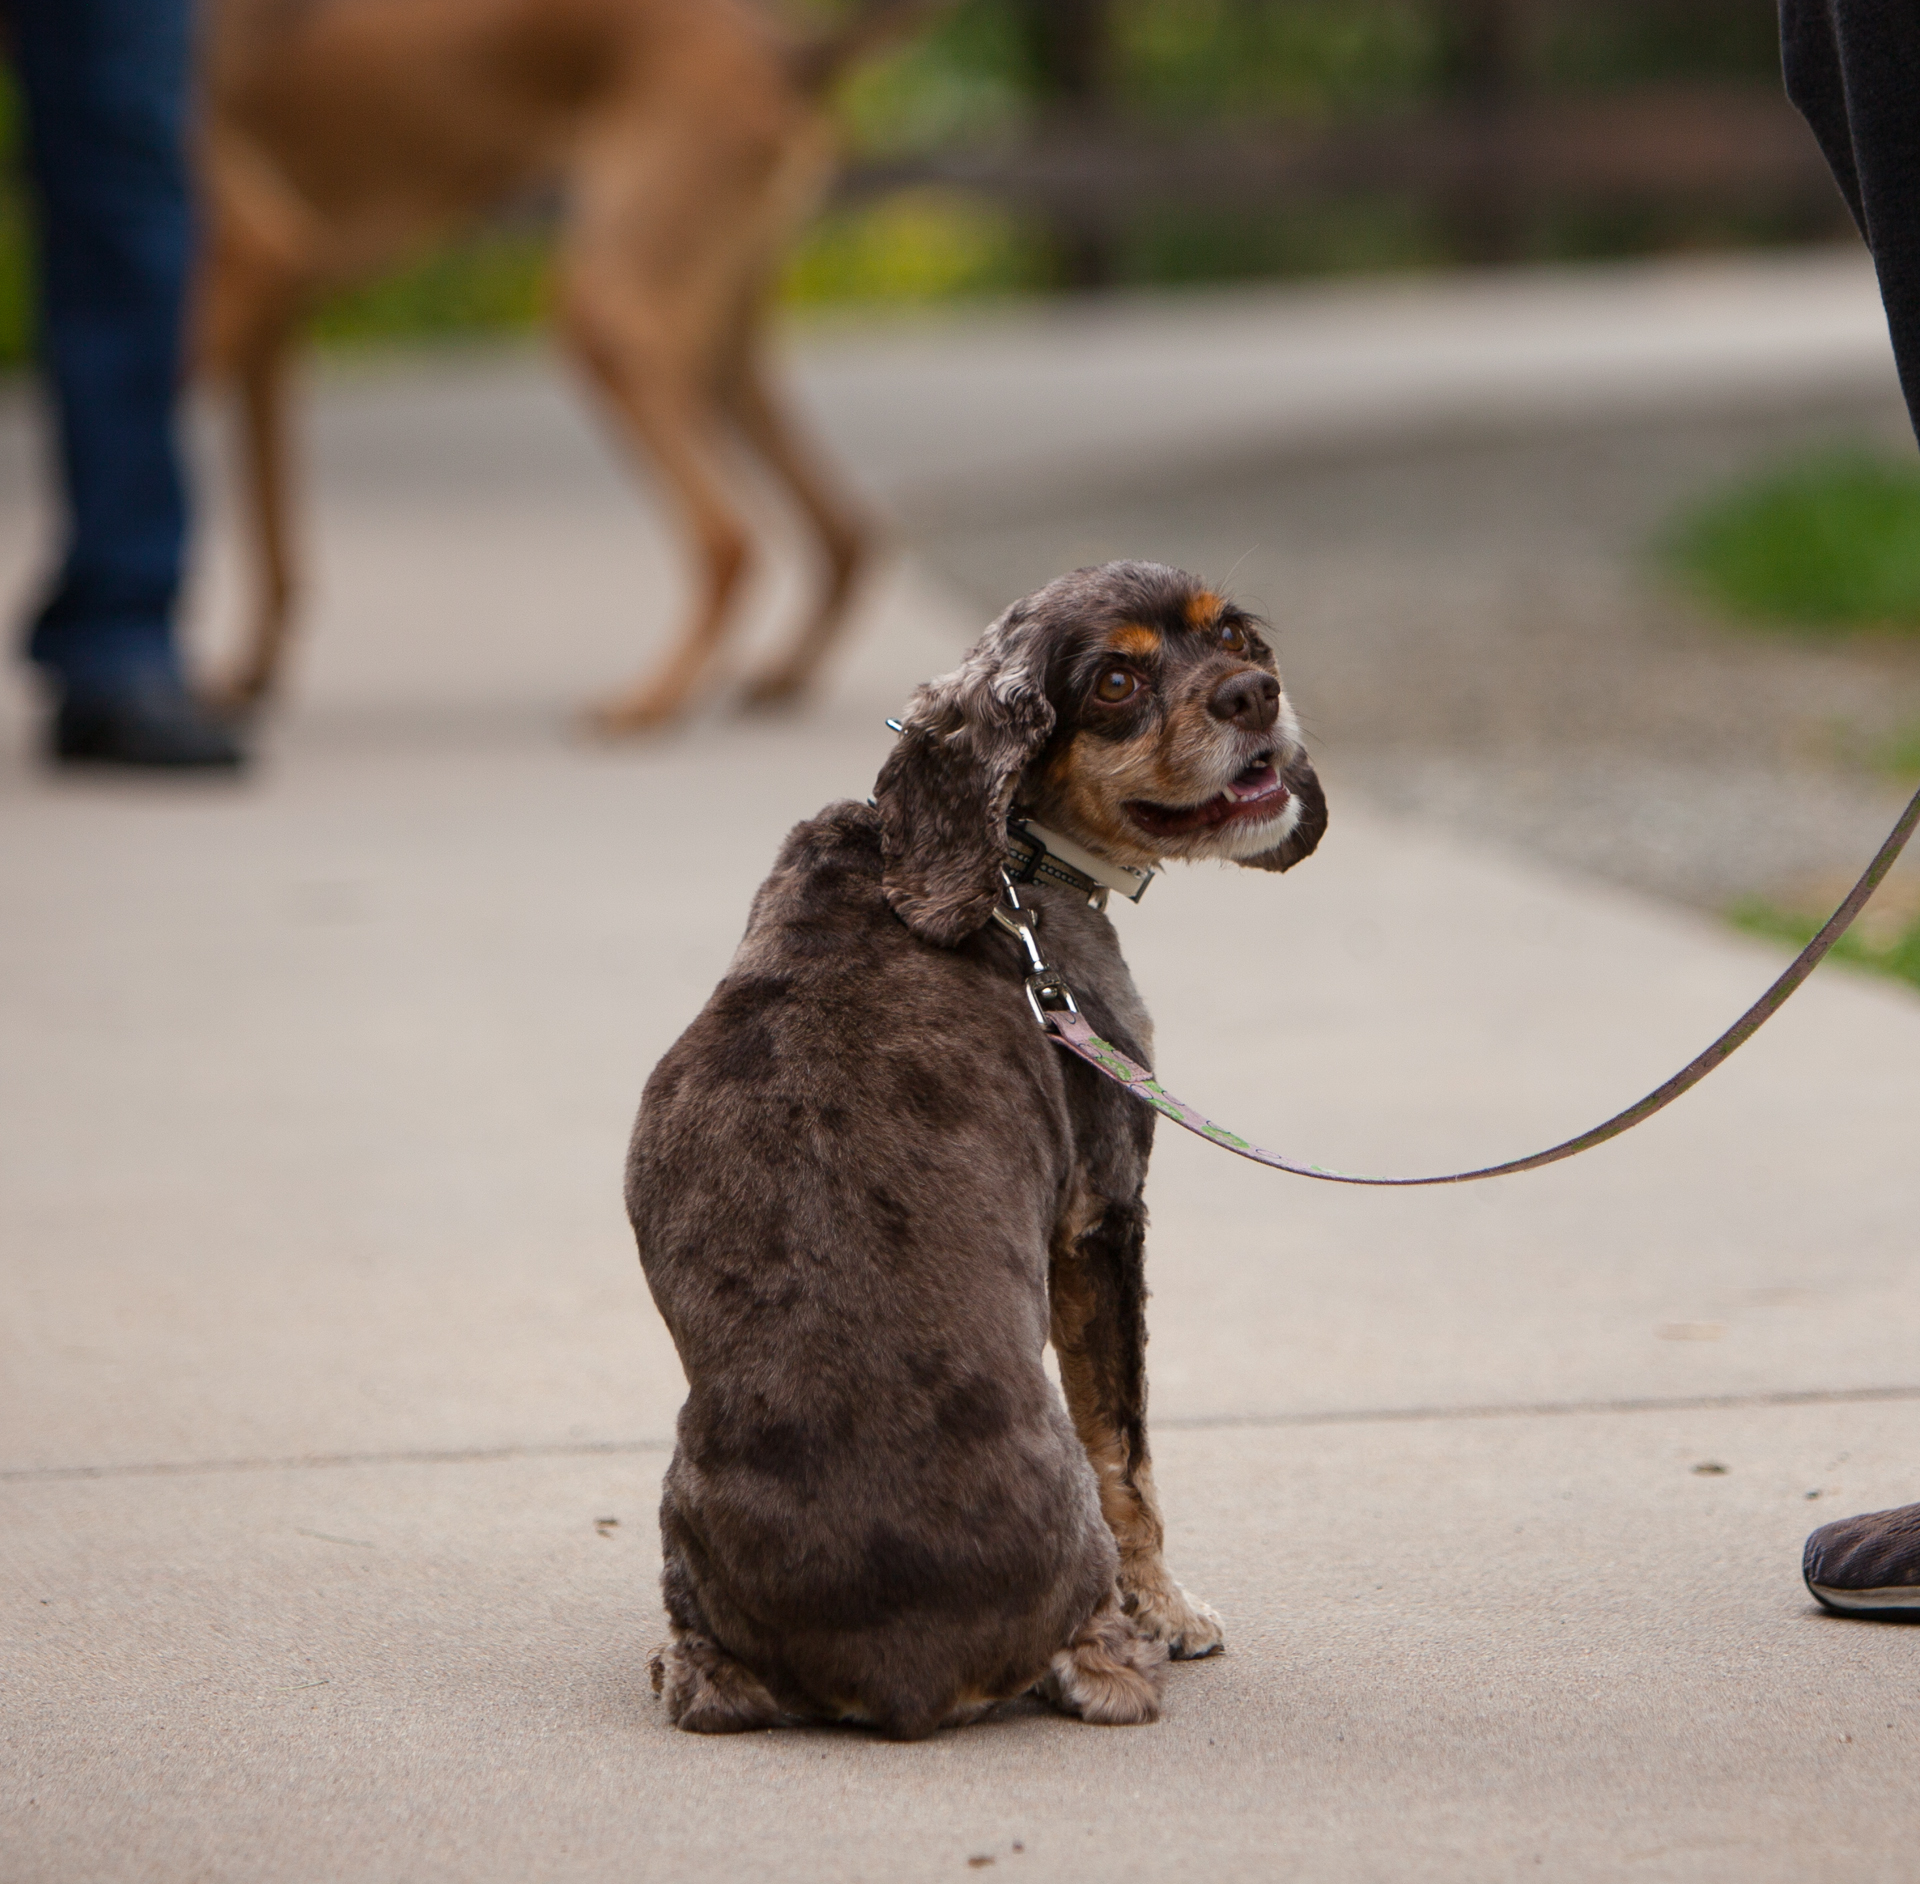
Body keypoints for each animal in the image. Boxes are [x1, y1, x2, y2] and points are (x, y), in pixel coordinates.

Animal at [196, 0, 936, 725]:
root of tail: (784, 51)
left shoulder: (254, 264)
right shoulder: (270, 319)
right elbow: (269, 525)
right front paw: (246, 678)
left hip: (609, 318)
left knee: (731, 539)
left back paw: (653, 699)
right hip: (717, 345)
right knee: (845, 531)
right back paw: (783, 676)